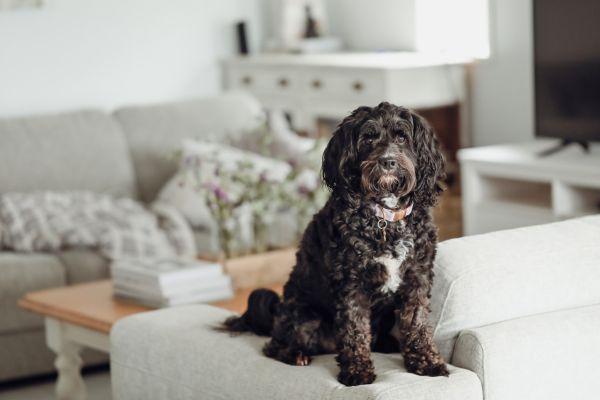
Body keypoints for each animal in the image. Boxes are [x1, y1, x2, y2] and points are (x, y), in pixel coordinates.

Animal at [223, 102, 448, 384]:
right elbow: (354, 329)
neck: (384, 219)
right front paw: (357, 371)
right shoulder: (351, 281)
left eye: (401, 137)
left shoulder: (417, 277)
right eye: (368, 138)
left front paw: (427, 362)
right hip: (304, 314)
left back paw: (387, 343)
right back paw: (296, 354)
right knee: (276, 346)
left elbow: (416, 322)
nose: (387, 162)